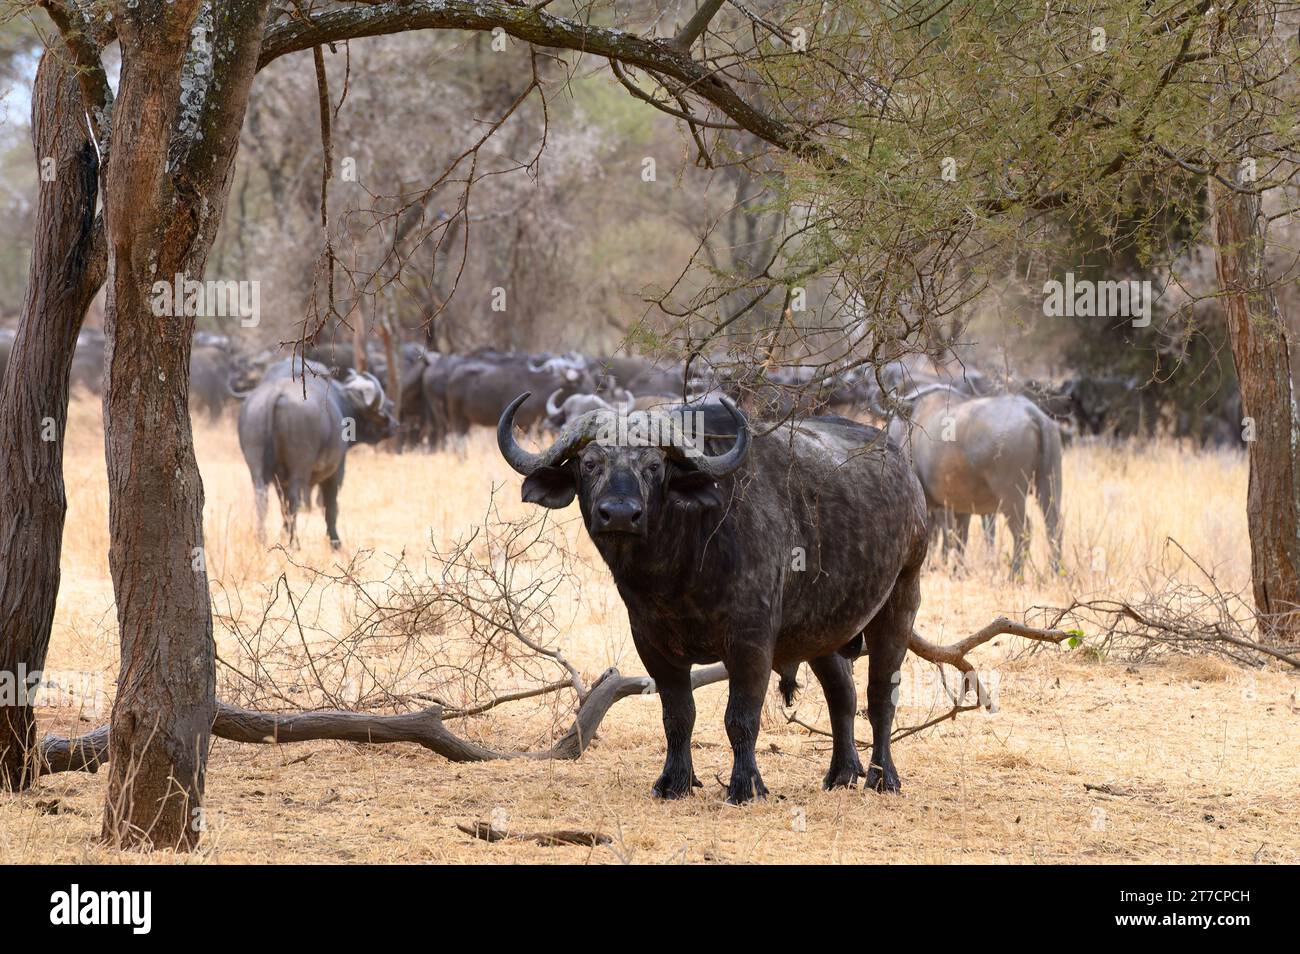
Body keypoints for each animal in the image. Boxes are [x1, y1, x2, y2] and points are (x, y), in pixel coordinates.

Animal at [235, 366, 392, 545]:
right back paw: (294, 543)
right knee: (295, 500)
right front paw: (336, 542)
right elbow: (331, 507)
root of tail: (275, 393)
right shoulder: (336, 473)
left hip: (257, 468)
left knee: (262, 498)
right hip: (299, 468)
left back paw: (262, 538)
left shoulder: (279, 481)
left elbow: (283, 506)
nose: (393, 423)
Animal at [499, 392, 935, 805]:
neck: (676, 568)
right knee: (841, 693)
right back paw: (842, 774)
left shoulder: (750, 642)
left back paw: (883, 777)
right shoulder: (652, 644)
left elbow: (740, 717)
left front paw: (745, 786)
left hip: (901, 598)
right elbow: (678, 716)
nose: (620, 514)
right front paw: (674, 782)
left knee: (881, 696)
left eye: (653, 465)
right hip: (821, 629)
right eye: (590, 463)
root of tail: (907, 475)